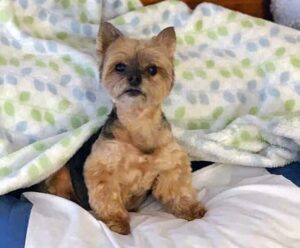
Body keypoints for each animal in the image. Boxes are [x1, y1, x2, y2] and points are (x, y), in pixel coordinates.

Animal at [43, 21, 205, 234]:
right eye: (120, 67)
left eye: (152, 69)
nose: (134, 78)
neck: (138, 121)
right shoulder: (102, 167)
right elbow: (108, 197)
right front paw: (117, 221)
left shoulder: (170, 163)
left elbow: (176, 188)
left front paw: (190, 208)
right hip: (61, 174)